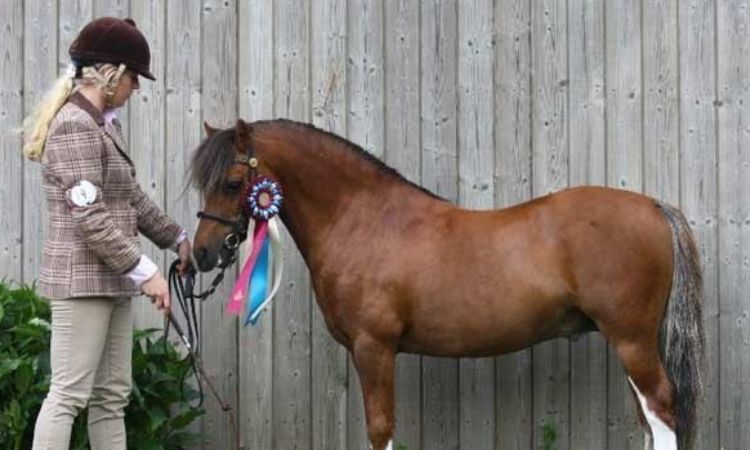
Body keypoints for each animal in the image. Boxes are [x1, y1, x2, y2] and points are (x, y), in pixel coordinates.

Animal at [189, 118, 704, 450]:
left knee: (660, 411)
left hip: (632, 340)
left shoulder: (373, 348)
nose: (202, 253)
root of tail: (653, 207)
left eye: (233, 182)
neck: (362, 220)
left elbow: (380, 429)